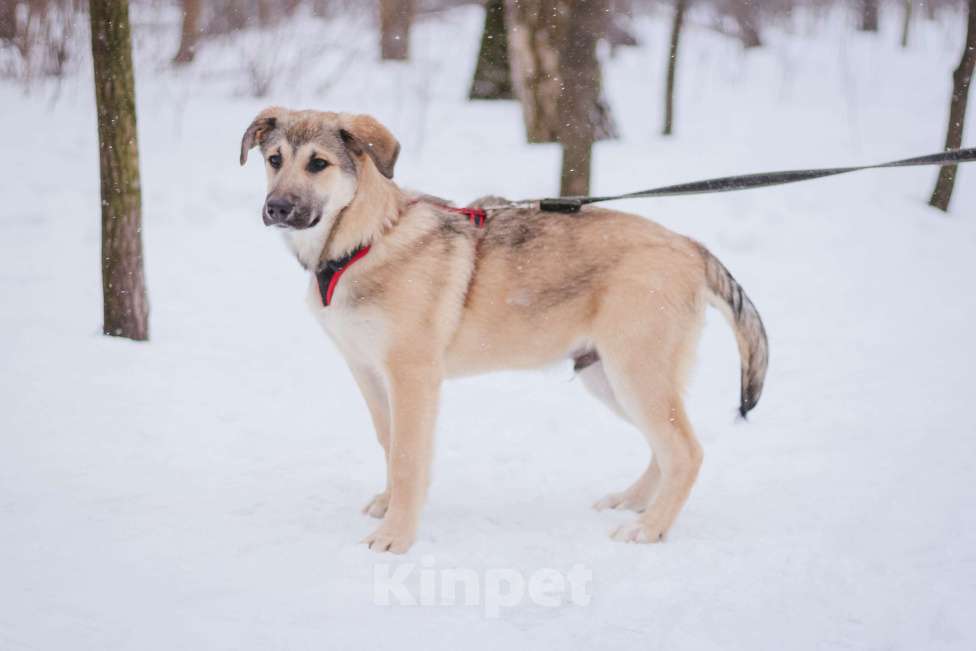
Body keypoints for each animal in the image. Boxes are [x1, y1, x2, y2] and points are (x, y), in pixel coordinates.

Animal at [240, 108, 768, 556]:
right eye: (274, 159)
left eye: (319, 164)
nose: (277, 208)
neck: (363, 241)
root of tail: (690, 246)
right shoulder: (368, 373)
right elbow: (389, 443)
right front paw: (391, 505)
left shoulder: (412, 377)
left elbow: (408, 456)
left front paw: (396, 536)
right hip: (608, 376)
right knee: (666, 447)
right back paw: (633, 501)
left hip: (635, 368)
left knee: (687, 451)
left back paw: (649, 528)